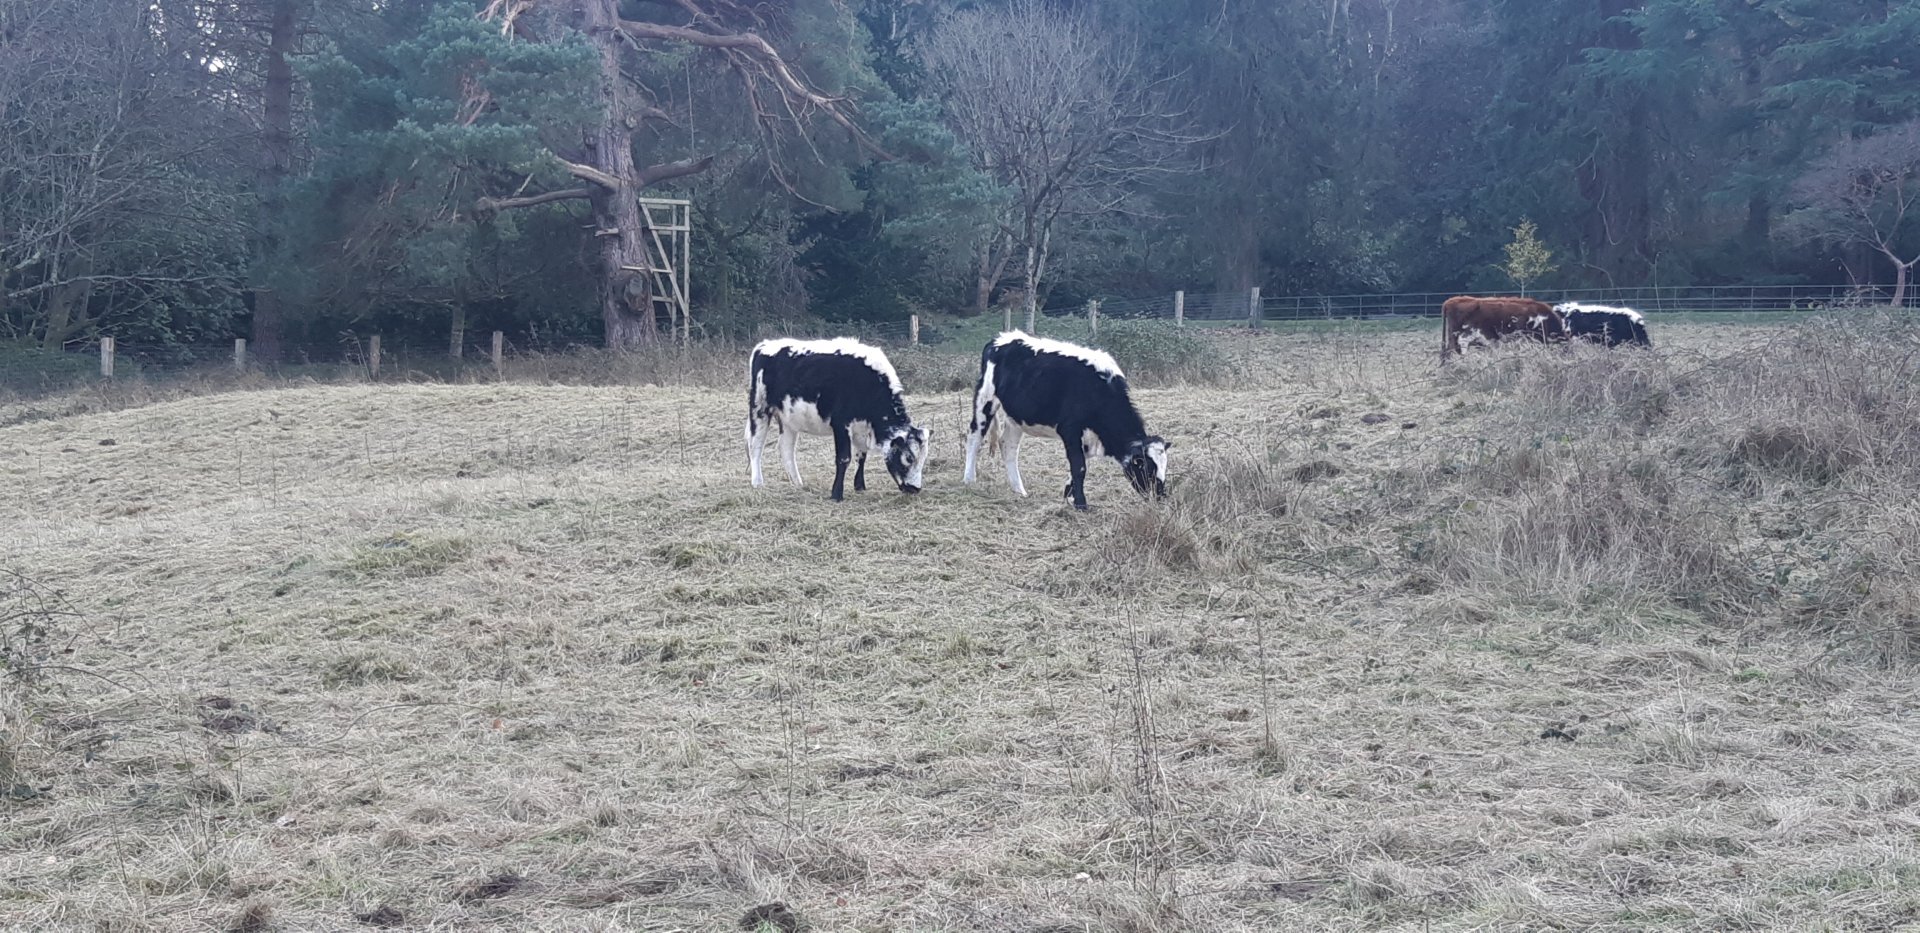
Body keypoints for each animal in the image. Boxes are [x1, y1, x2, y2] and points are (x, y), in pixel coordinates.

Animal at [746, 338, 931, 501]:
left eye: (923, 459)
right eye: (908, 458)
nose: (915, 489)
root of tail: (764, 345)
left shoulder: (861, 427)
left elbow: (861, 456)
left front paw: (859, 486)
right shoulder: (841, 424)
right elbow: (844, 458)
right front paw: (836, 494)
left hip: (788, 418)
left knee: (786, 448)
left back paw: (798, 483)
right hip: (759, 407)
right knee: (756, 445)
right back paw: (757, 482)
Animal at [962, 331, 1169, 511]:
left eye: (1163, 468)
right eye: (1147, 468)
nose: (1159, 498)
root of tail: (1000, 338)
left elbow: (1079, 464)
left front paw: (1068, 496)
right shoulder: (1070, 428)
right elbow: (1079, 466)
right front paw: (1081, 504)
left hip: (1015, 416)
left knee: (1008, 446)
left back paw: (1019, 490)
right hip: (985, 398)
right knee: (975, 436)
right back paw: (969, 480)